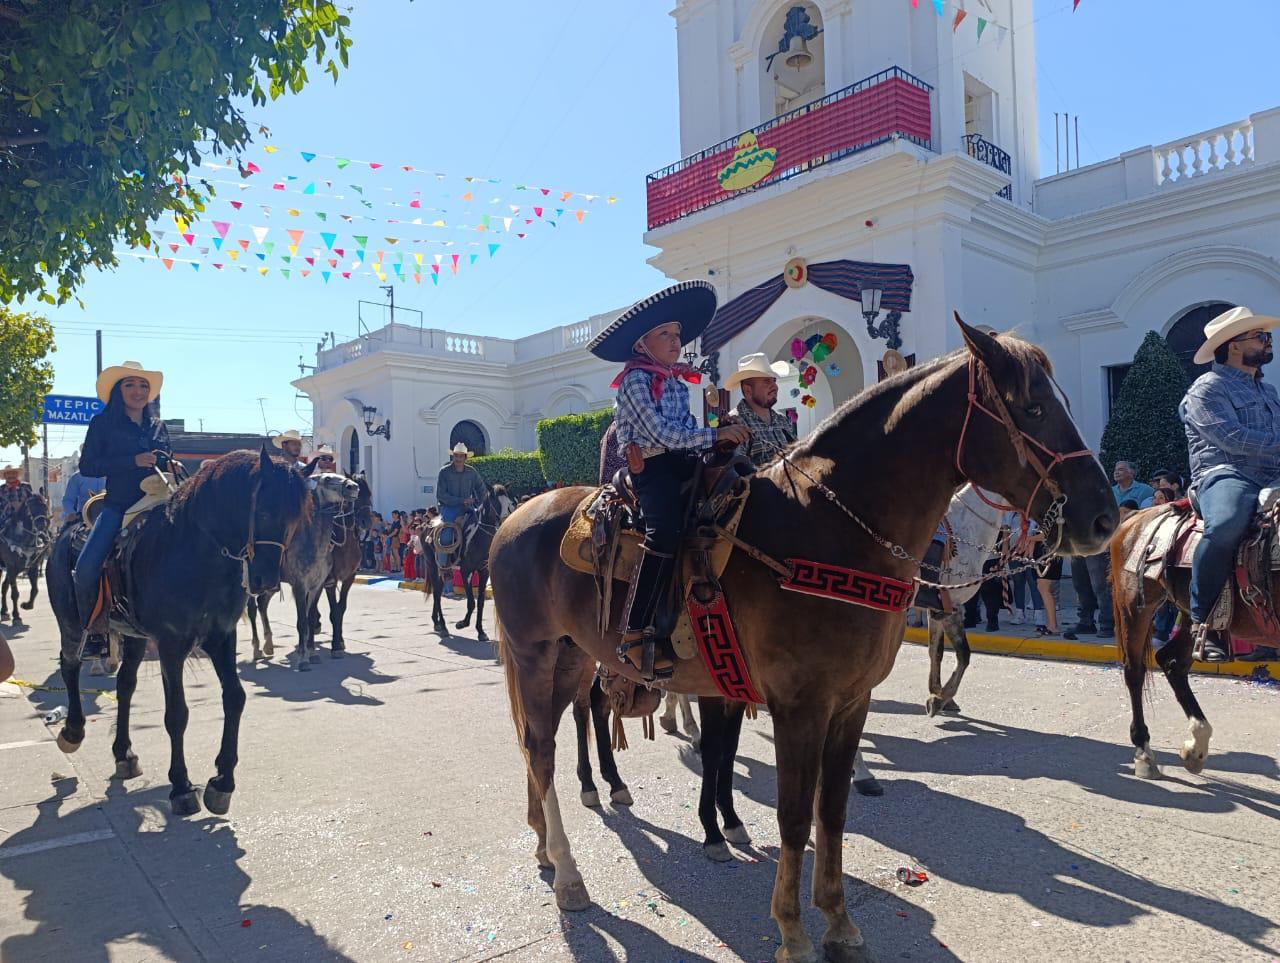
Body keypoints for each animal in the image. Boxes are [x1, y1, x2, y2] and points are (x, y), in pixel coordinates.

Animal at [491, 323, 1121, 962]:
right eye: (1033, 407)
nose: (1103, 518)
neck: (827, 530)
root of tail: (516, 515)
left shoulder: (851, 702)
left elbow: (832, 810)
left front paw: (839, 922)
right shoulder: (800, 705)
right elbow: (794, 817)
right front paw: (792, 931)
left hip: (573, 655)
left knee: (547, 734)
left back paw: (549, 841)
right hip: (534, 653)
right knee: (541, 748)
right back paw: (570, 873)